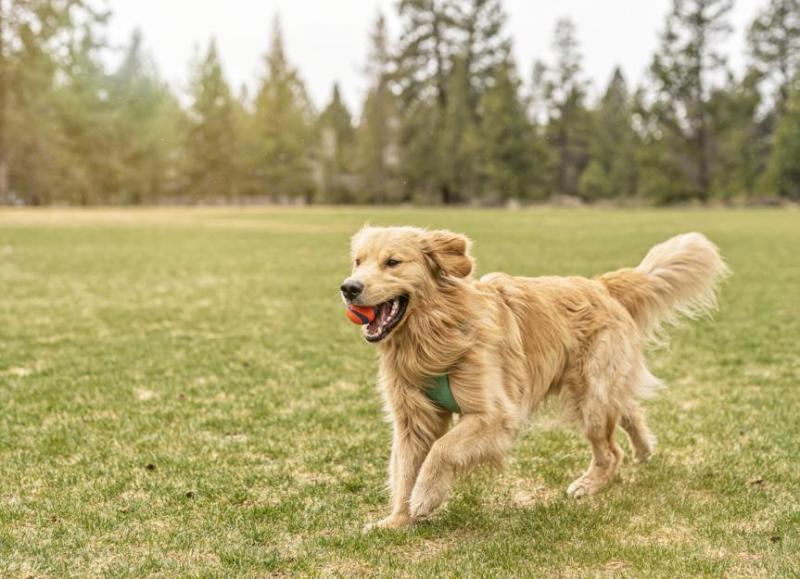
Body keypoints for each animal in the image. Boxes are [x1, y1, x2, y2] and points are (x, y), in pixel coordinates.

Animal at [340, 227, 728, 532]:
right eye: (358, 261)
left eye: (393, 262)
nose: (349, 288)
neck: (434, 335)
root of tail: (600, 285)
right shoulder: (412, 420)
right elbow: (405, 469)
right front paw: (397, 520)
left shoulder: (494, 415)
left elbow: (442, 449)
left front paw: (425, 498)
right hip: (600, 390)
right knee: (628, 407)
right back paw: (644, 447)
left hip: (590, 396)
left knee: (611, 451)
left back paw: (589, 484)